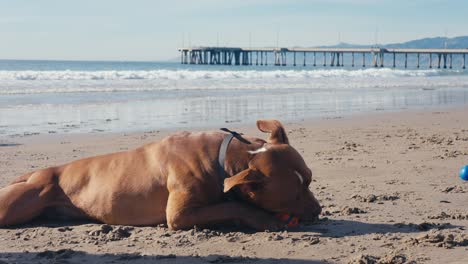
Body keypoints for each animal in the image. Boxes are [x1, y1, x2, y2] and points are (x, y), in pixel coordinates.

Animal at [0, 120, 322, 231]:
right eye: (292, 196)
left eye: (310, 180)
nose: (319, 210)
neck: (228, 157)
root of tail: (39, 172)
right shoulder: (179, 214)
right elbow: (233, 205)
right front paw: (264, 219)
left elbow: (230, 203)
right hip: (19, 202)